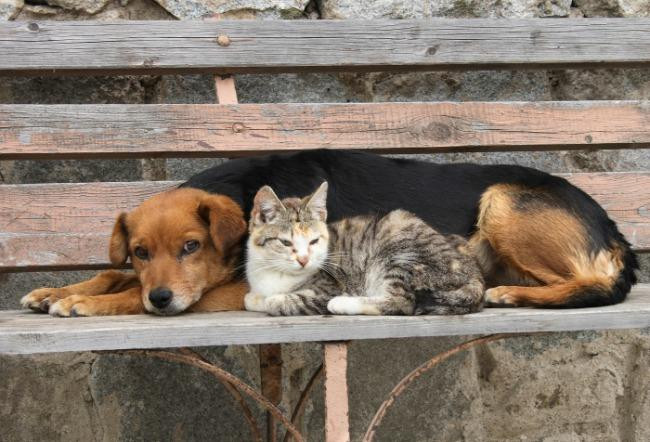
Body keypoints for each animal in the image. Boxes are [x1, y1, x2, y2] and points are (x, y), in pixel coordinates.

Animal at [246, 181, 484, 316]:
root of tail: (474, 274)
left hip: (401, 249)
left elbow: (281, 301)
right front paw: (256, 298)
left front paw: (271, 300)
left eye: (314, 241)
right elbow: (250, 299)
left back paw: (342, 304)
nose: (304, 260)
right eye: (286, 243)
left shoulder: (328, 287)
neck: (275, 273)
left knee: (402, 301)